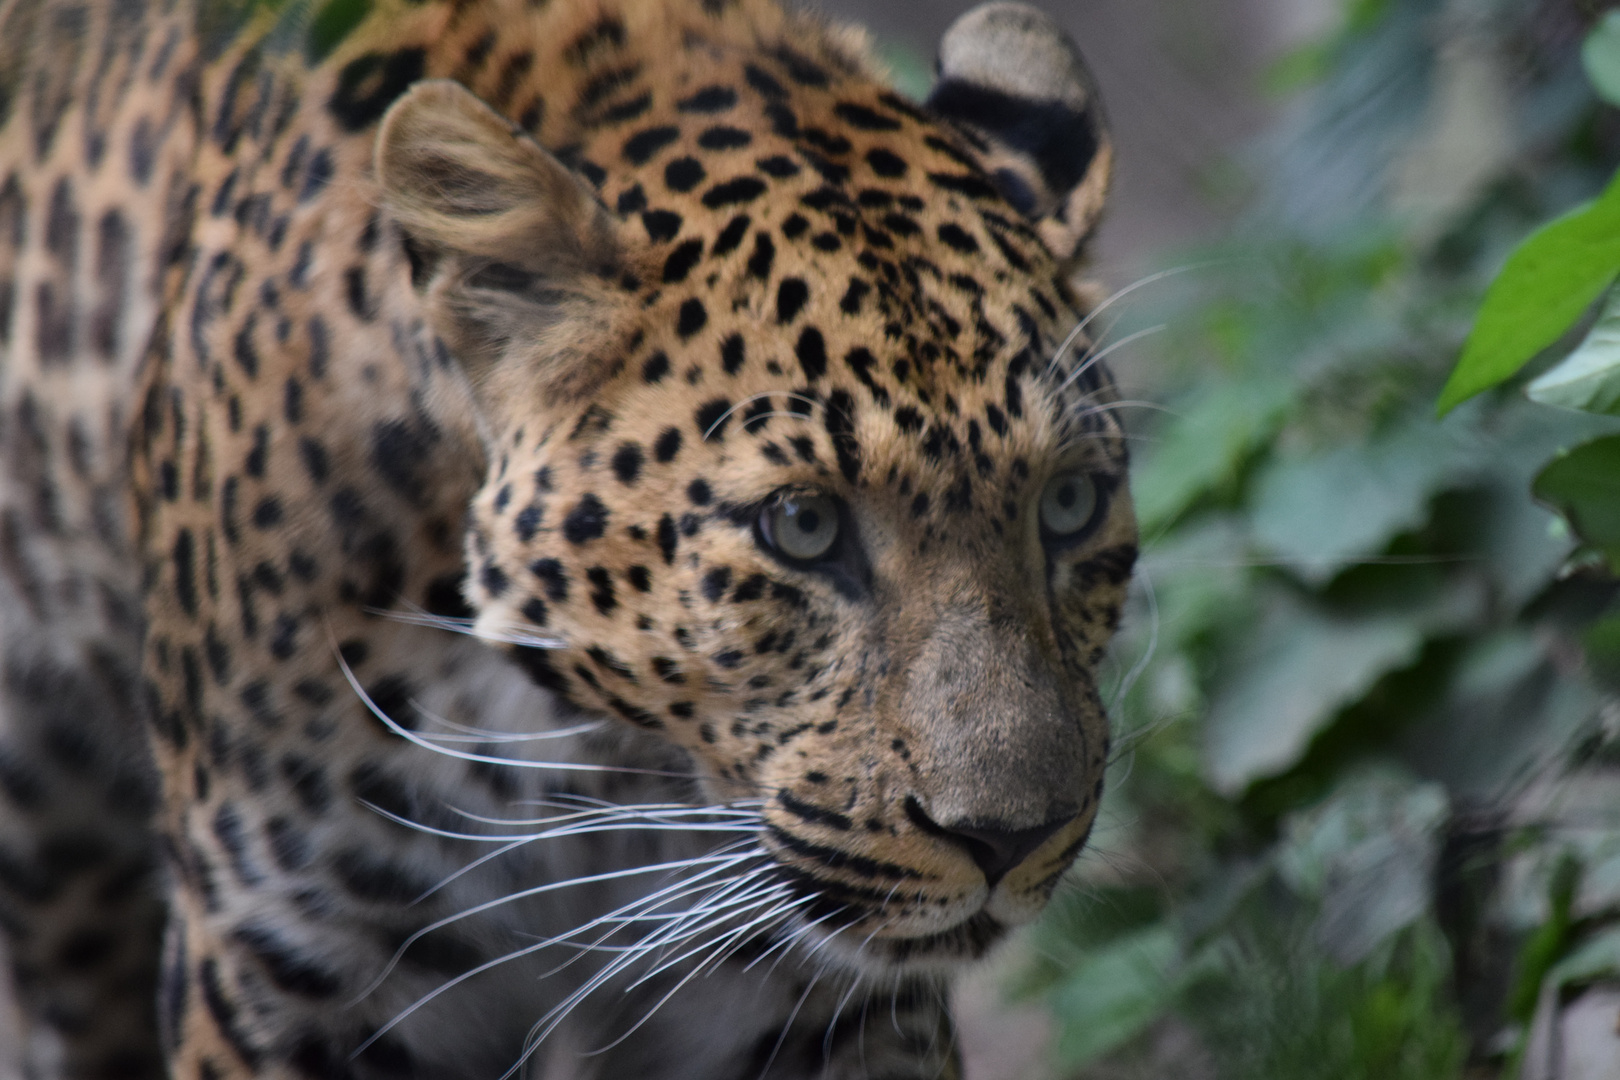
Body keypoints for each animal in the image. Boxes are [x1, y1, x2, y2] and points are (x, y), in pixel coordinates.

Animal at [0, 0, 1140, 1075]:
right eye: (804, 525)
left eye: (1069, 506)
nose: (1008, 839)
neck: (587, 760)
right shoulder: (295, 960)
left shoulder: (803, 999)